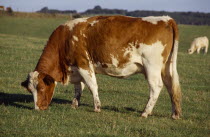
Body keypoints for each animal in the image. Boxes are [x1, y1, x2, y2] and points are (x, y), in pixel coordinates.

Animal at [21, 15, 182, 119]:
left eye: (42, 88)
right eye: (30, 90)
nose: (37, 109)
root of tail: (166, 19)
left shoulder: (84, 64)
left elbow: (92, 86)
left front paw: (97, 107)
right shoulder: (76, 68)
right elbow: (79, 88)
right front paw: (74, 104)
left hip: (151, 66)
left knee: (156, 87)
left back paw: (145, 112)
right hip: (166, 67)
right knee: (171, 86)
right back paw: (175, 114)